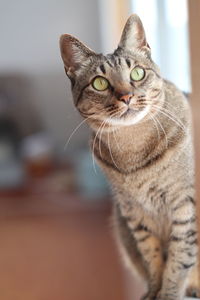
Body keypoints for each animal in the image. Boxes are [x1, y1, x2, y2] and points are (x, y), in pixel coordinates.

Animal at [59, 13, 198, 300]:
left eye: (137, 73)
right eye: (99, 83)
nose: (127, 96)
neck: (133, 151)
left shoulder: (185, 205)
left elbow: (180, 258)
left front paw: (169, 293)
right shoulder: (134, 214)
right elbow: (152, 258)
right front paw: (155, 290)